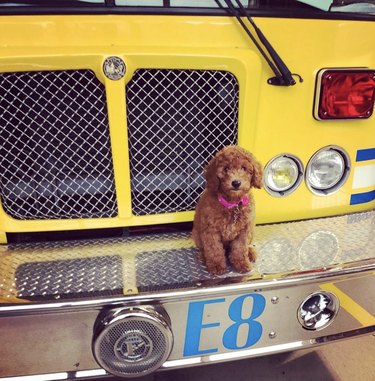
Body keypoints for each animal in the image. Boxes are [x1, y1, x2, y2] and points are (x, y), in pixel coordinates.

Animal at [192, 145, 262, 274]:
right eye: (225, 169)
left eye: (244, 168)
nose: (236, 183)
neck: (232, 204)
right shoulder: (211, 231)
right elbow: (214, 249)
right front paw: (216, 266)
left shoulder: (244, 230)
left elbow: (240, 248)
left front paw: (241, 263)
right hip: (197, 236)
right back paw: (204, 257)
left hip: (251, 232)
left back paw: (250, 253)